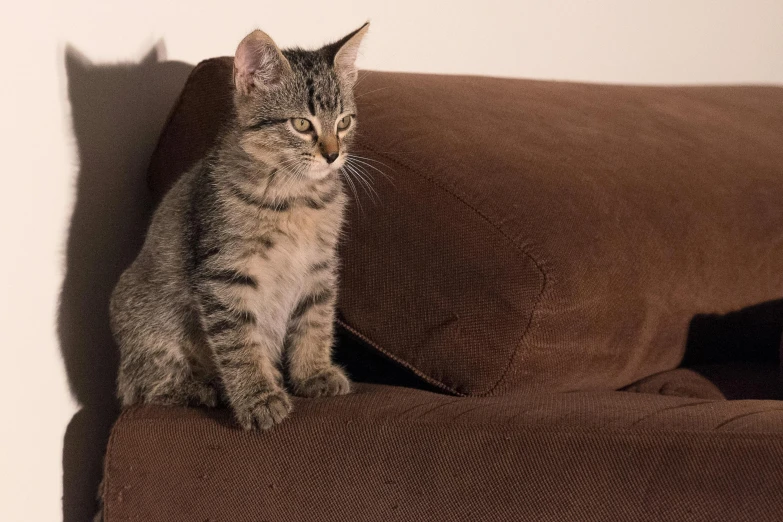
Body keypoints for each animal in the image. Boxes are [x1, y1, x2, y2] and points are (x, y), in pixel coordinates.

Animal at [108, 23, 372, 430]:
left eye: (344, 122)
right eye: (301, 124)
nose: (332, 154)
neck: (297, 196)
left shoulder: (319, 266)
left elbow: (315, 320)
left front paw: (313, 373)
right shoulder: (224, 274)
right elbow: (239, 342)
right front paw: (258, 398)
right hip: (149, 327)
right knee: (144, 388)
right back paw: (201, 389)